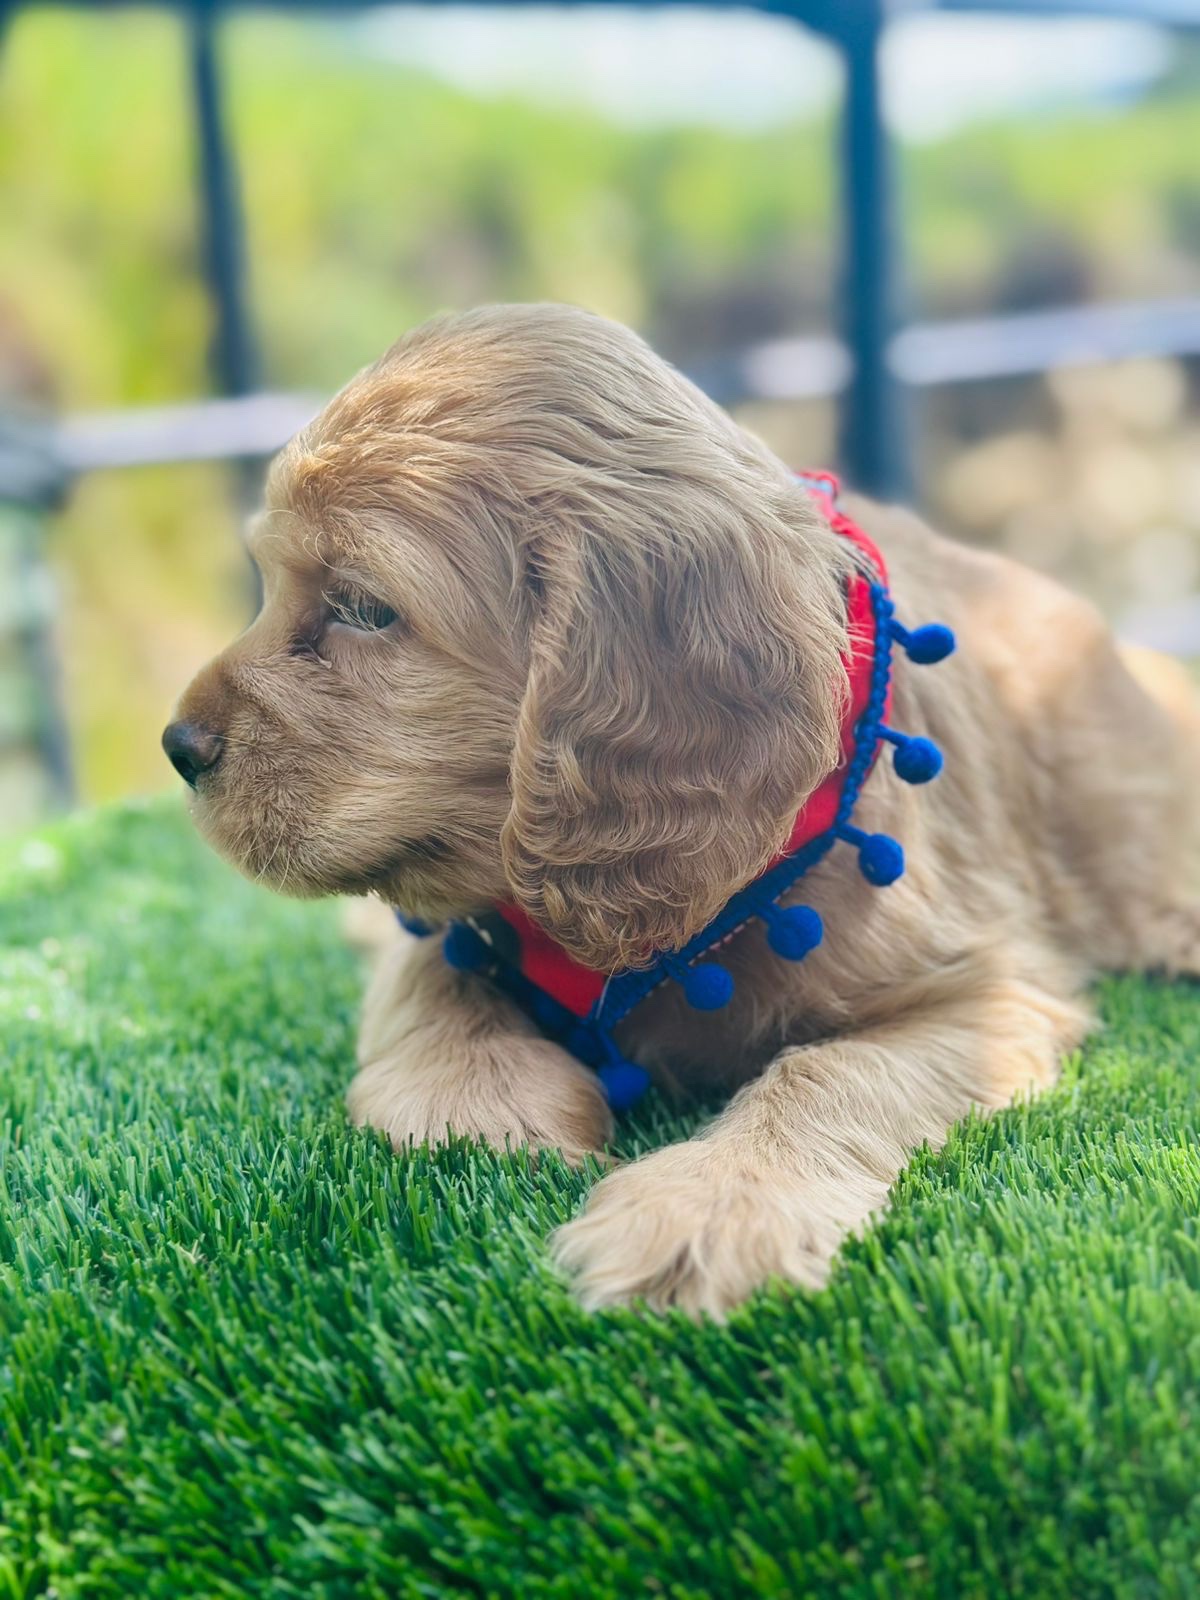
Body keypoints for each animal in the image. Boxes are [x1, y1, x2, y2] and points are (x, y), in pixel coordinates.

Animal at [163, 302, 1200, 1317]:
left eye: (366, 609)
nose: (178, 747)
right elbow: (432, 968)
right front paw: (477, 1102)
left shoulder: (987, 990)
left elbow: (831, 1070)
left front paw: (709, 1210)